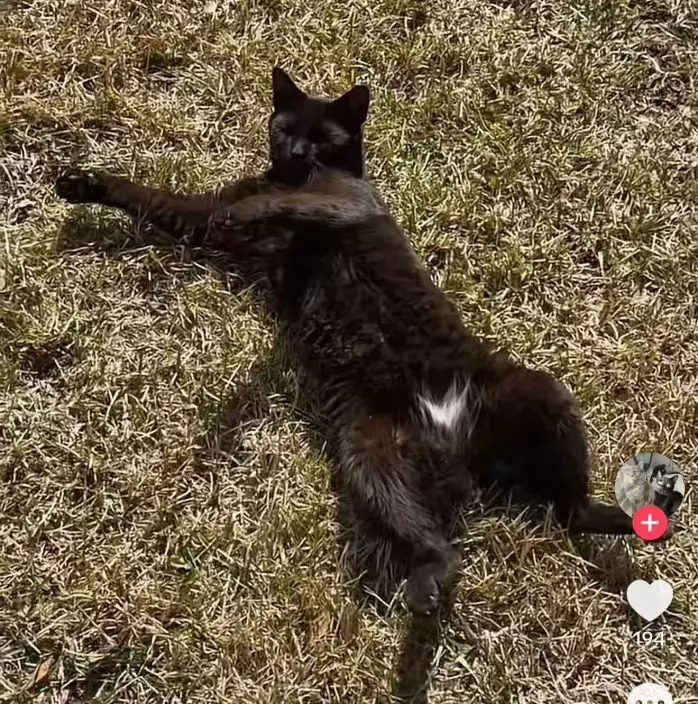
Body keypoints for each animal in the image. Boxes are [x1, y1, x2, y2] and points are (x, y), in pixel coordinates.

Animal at [55, 68, 635, 615]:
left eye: (323, 135)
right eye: (284, 126)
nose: (294, 150)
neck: (295, 177)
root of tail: (457, 446)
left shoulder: (346, 203)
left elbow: (281, 203)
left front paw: (259, 203)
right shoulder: (207, 218)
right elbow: (164, 201)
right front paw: (84, 185)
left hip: (538, 391)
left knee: (572, 508)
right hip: (371, 458)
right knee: (441, 540)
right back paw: (429, 581)